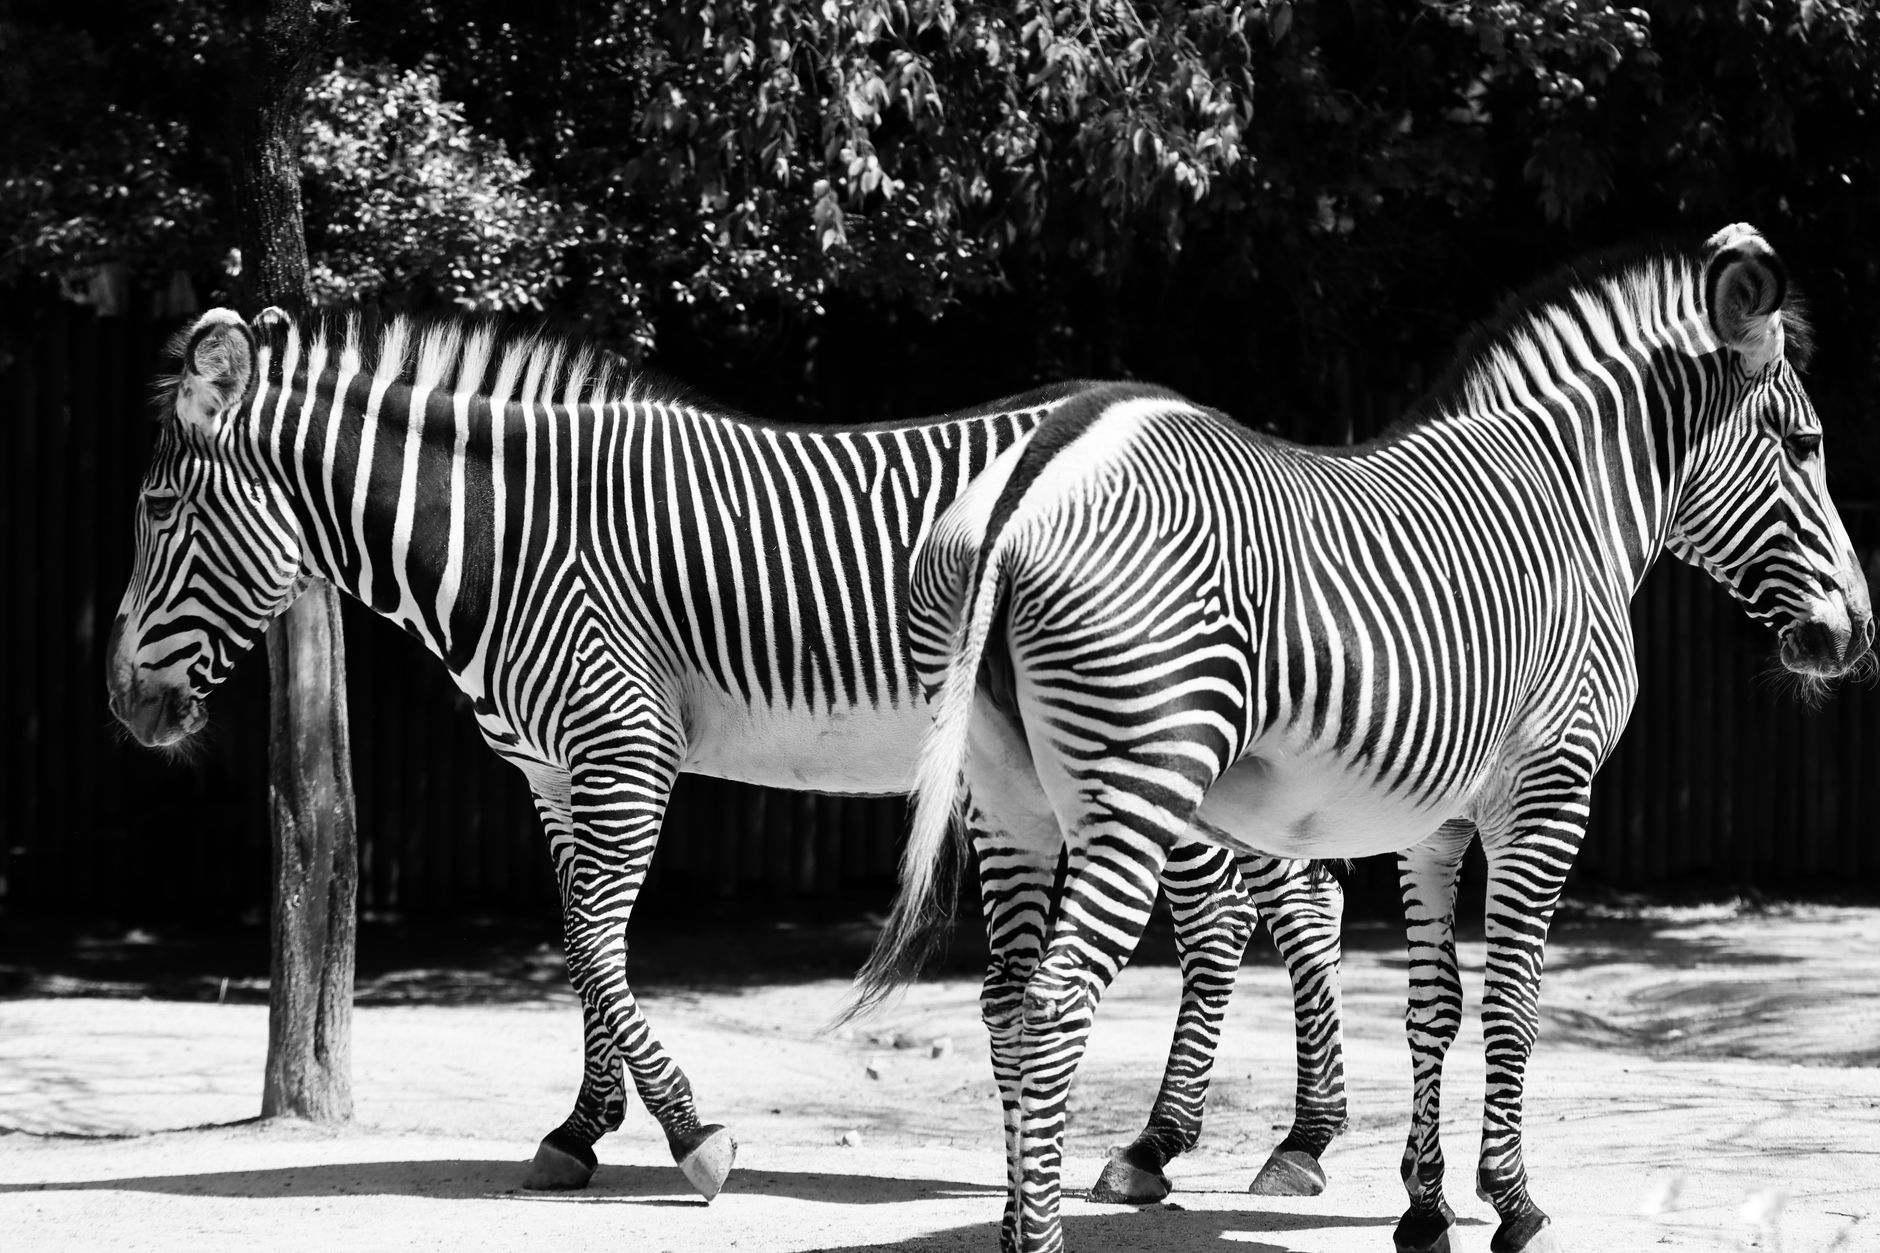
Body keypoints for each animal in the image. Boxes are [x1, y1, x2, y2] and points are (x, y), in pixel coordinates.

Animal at [102, 306, 1346, 1204]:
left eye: (158, 506)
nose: (122, 702)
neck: (508, 541)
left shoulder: (622, 742)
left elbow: (594, 945)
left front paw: (693, 1135)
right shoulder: (549, 770)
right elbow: (579, 945)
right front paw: (579, 1130)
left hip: (1145, 734)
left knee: (1243, 914)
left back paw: (1189, 1145)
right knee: (1284, 903)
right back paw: (1266, 1138)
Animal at [849, 224, 1873, 1253]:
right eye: (1807, 445)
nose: (1853, 636)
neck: (1569, 504)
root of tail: (1031, 478)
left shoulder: (1434, 819)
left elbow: (1435, 1006)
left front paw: (1425, 1207)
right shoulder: (1549, 784)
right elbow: (1512, 1000)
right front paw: (1515, 1204)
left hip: (1004, 798)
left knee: (1006, 996)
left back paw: (1020, 1218)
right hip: (1139, 780)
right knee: (1058, 999)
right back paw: (1049, 1233)